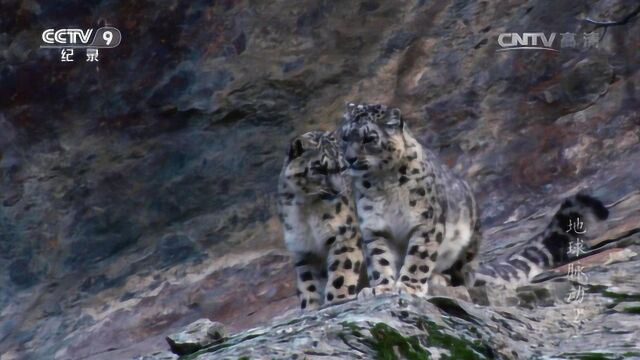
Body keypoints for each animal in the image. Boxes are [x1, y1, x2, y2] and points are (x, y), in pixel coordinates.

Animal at [276, 130, 362, 310]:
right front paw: (310, 307)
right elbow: (308, 283)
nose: (338, 190)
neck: (306, 209)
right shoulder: (303, 250)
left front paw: (337, 300)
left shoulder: (345, 236)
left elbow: (341, 272)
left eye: (343, 168)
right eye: (319, 169)